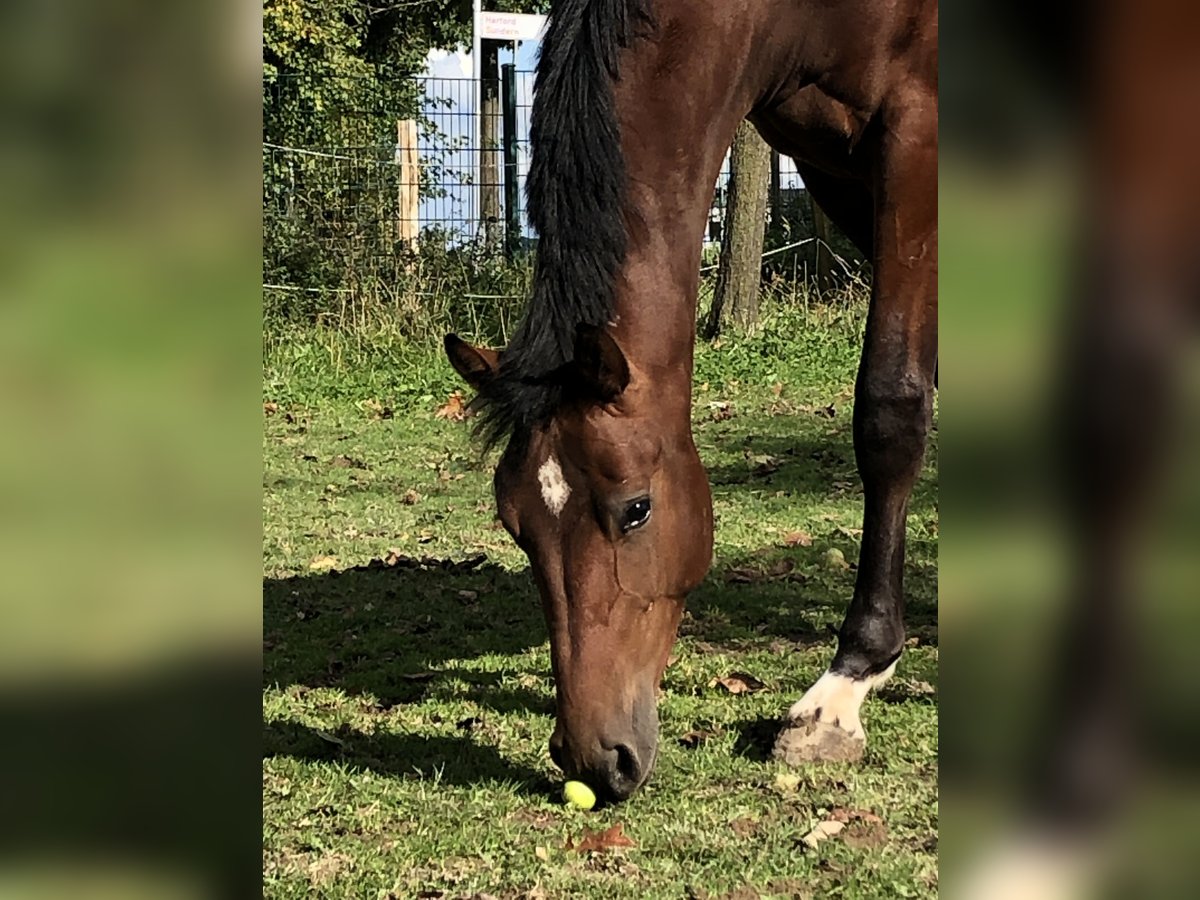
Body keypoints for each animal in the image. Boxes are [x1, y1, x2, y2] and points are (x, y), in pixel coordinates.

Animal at [444, 0, 936, 801]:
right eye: (515, 525)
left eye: (636, 509)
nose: (594, 761)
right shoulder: (836, 162)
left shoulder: (915, 134)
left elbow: (890, 408)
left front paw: (846, 686)